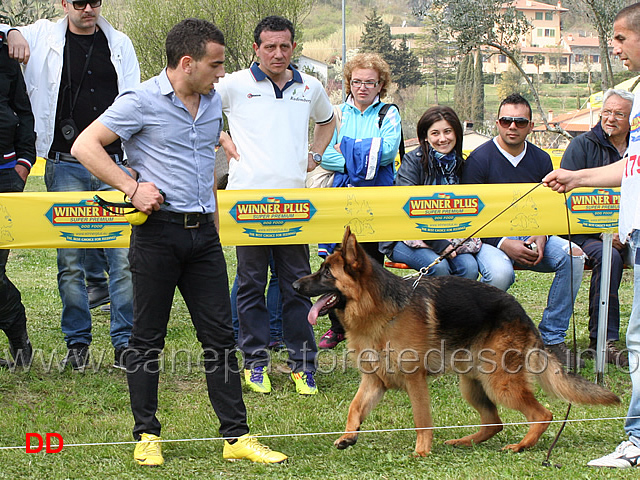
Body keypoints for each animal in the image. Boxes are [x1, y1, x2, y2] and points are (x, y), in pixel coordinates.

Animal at [296, 229, 620, 458]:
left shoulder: (415, 381)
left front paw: (422, 451)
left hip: (499, 384)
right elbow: (355, 408)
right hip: (473, 383)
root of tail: (520, 311)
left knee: (543, 414)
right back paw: (465, 440)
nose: (295, 285)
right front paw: (348, 435)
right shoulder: (374, 380)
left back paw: (521, 445)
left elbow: (421, 417)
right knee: (494, 422)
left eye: (327, 273)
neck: (381, 312)